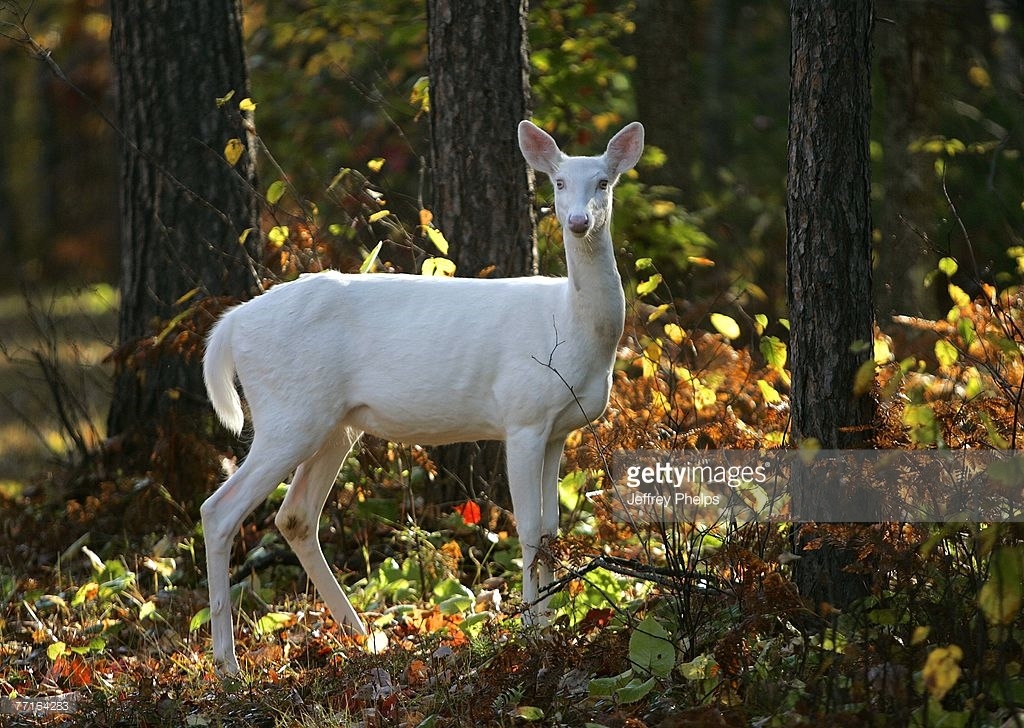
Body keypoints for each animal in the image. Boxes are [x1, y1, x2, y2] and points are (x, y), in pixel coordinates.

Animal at [199, 118, 643, 671]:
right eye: (558, 183)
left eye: (604, 182)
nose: (580, 221)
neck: (572, 326)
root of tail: (232, 324)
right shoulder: (521, 417)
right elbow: (525, 529)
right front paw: (532, 633)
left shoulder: (558, 429)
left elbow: (549, 532)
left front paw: (553, 624)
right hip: (288, 414)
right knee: (219, 511)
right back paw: (228, 665)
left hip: (334, 424)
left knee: (295, 515)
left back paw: (362, 635)